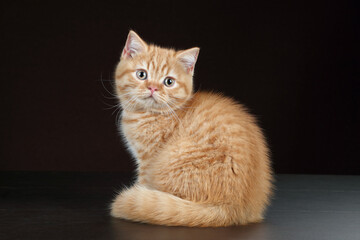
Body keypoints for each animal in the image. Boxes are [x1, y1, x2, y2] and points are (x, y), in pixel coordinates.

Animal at [110, 30, 272, 227]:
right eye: (141, 74)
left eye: (169, 82)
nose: (153, 88)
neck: (148, 114)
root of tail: (232, 209)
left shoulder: (147, 161)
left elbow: (143, 182)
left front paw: (139, 192)